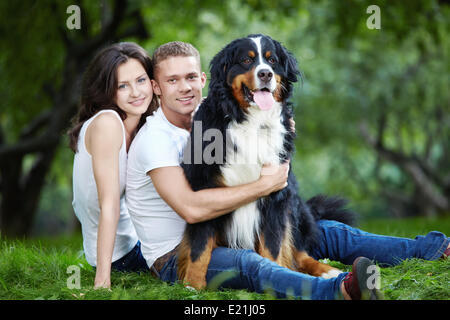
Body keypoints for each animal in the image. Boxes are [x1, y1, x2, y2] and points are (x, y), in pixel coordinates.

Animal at [178, 33, 354, 288]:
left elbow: (273, 246)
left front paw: (275, 276)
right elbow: (198, 248)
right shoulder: (203, 189)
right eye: (246, 60)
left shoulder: (276, 195)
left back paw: (326, 271)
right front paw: (192, 285)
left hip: (295, 207)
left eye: (271, 60)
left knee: (300, 251)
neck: (254, 122)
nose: (265, 74)